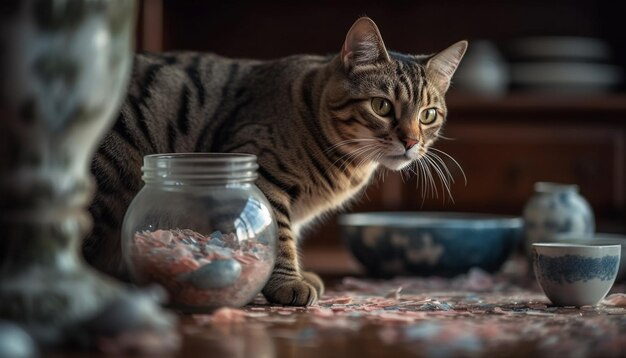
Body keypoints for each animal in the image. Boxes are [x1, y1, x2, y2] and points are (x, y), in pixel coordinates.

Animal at [85, 17, 466, 308]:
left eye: (428, 114)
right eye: (382, 106)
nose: (411, 141)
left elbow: (286, 233)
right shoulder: (260, 172)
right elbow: (277, 235)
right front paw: (286, 282)